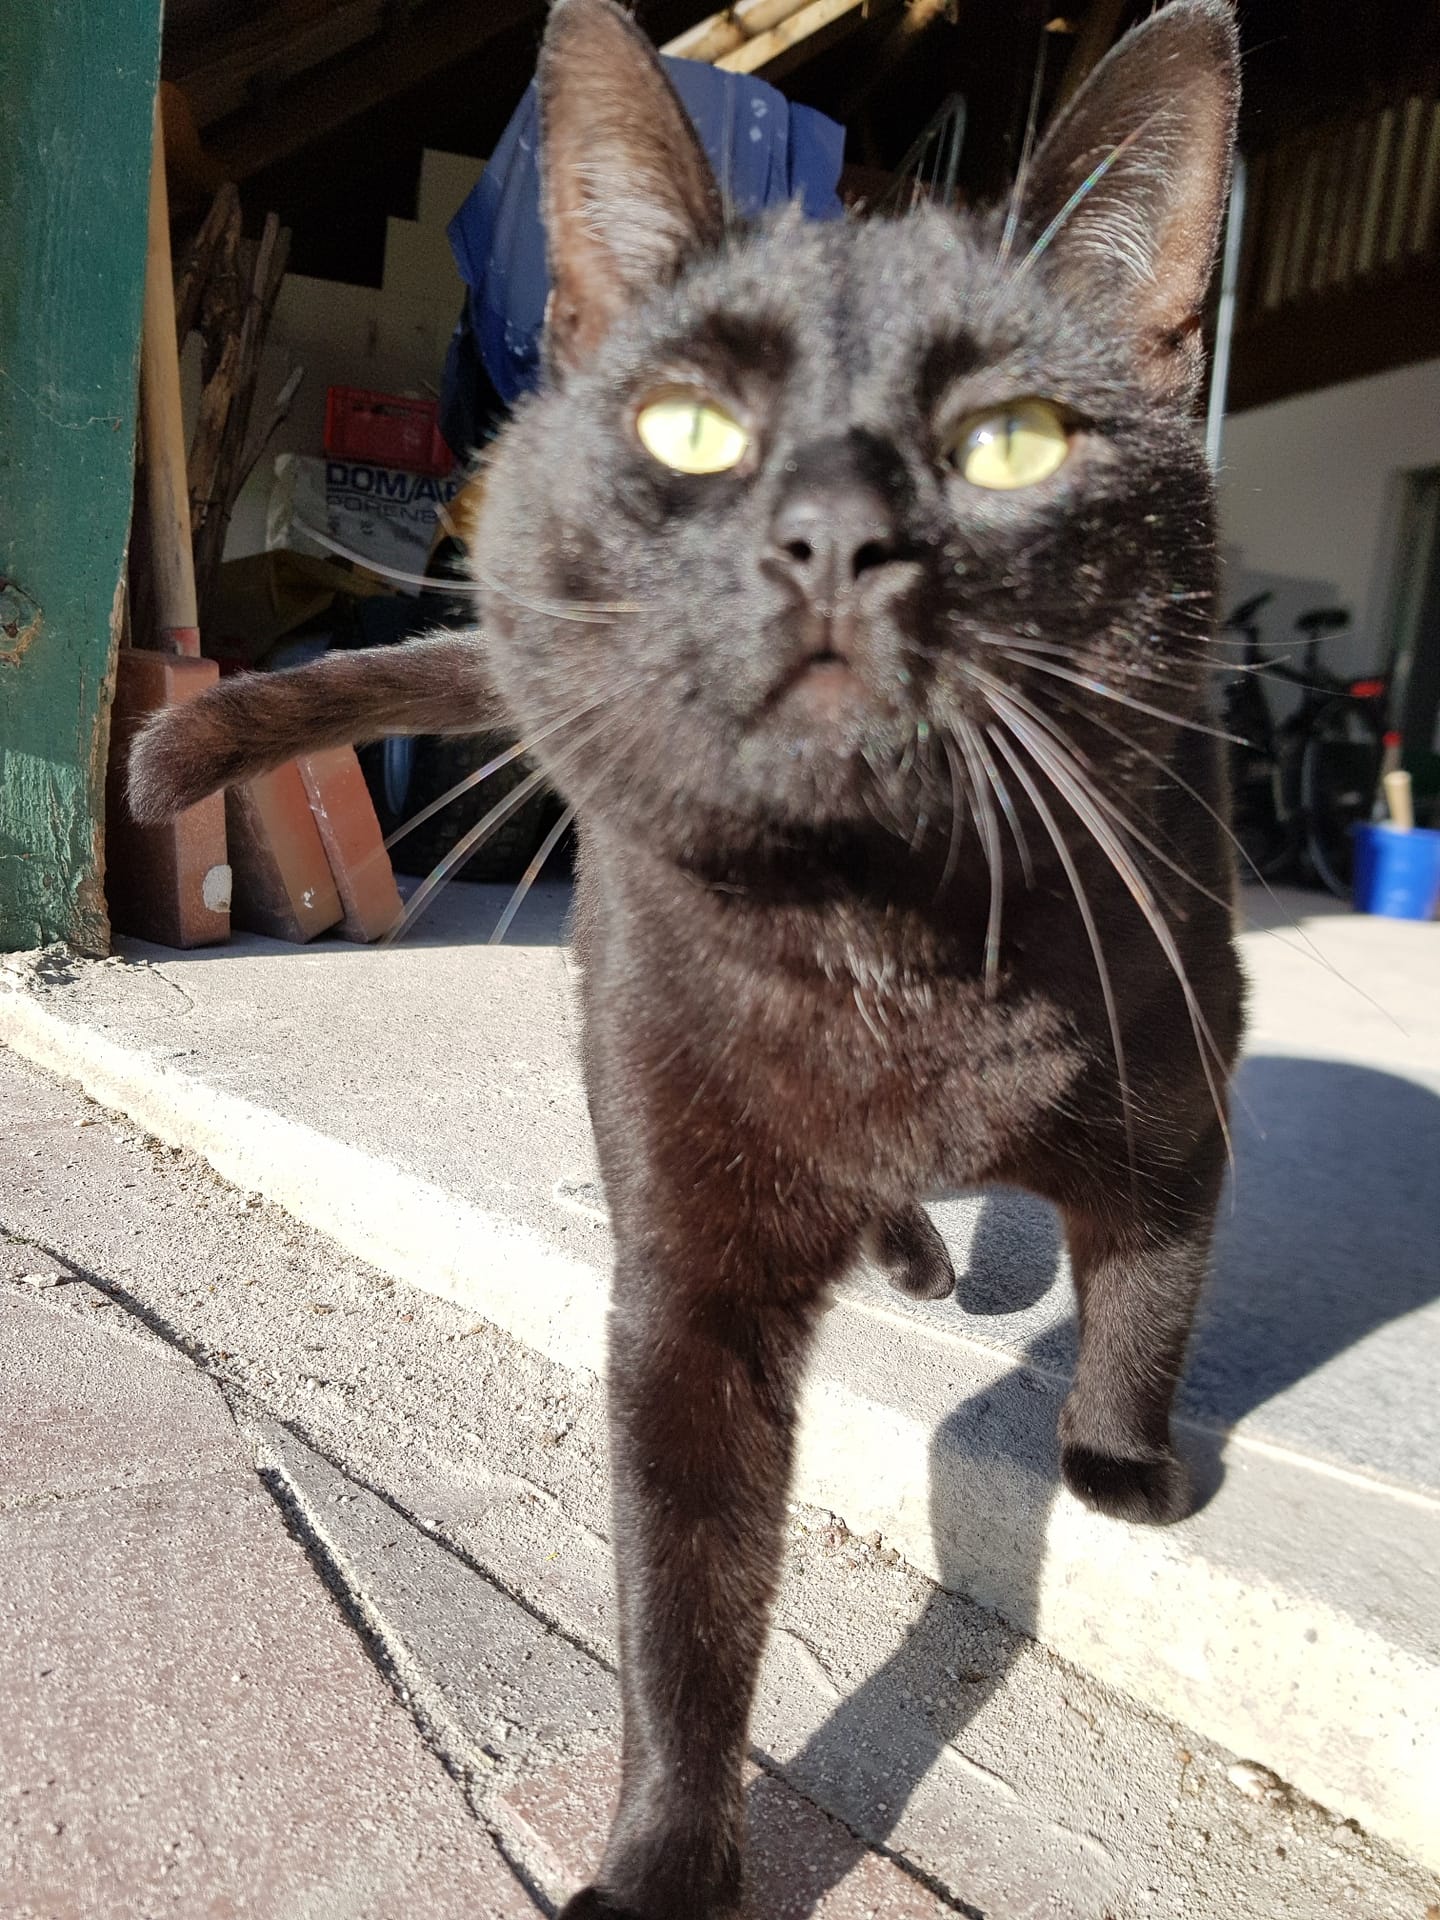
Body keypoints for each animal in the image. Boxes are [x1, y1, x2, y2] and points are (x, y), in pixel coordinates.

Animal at [129, 1, 1243, 1912]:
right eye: (693, 429)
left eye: (1015, 443)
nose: (832, 536)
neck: (886, 945)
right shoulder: (686, 1277)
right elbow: (684, 1601)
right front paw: (663, 1863)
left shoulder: (1184, 1086)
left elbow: (1146, 1303)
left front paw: (1119, 1473)